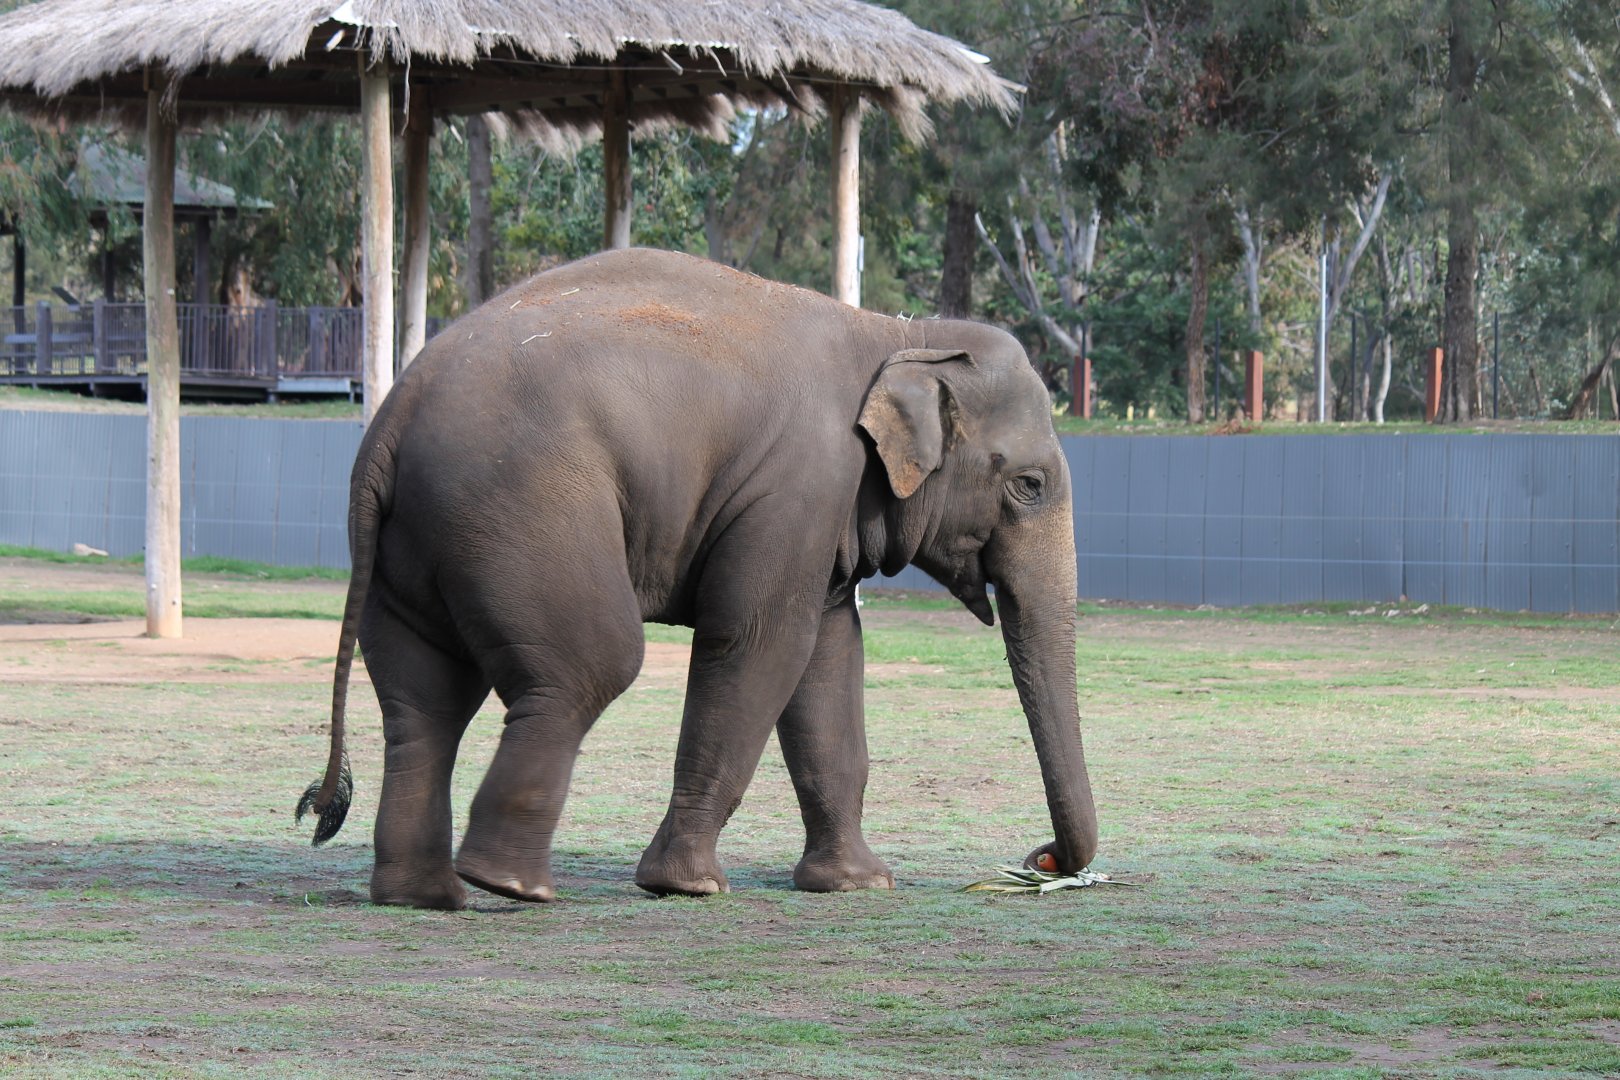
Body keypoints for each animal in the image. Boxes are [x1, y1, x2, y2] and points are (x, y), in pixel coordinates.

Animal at [297, 247, 1099, 910]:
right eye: (1028, 485)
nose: (1044, 859)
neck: (896, 333)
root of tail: (393, 419)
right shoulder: (799, 485)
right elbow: (760, 643)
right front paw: (689, 886)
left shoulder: (821, 516)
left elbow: (829, 659)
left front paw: (856, 884)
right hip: (520, 511)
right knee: (591, 664)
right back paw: (513, 886)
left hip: (415, 544)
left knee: (426, 701)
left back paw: (422, 896)